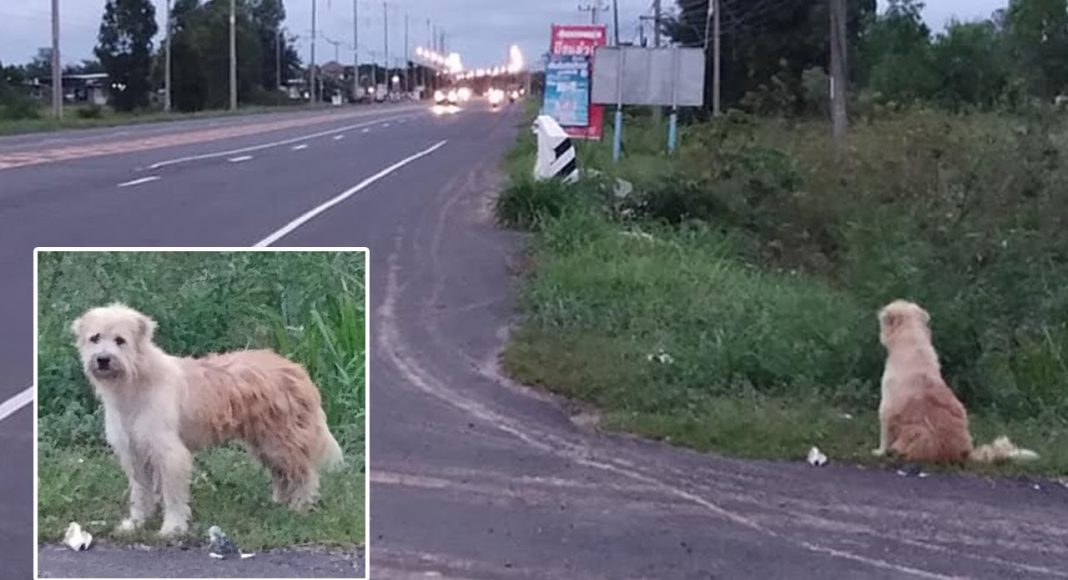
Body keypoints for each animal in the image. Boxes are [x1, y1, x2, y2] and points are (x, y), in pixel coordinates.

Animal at [74, 303, 341, 536]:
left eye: (120, 340)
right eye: (95, 338)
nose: (103, 359)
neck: (135, 381)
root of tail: (296, 369)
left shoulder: (169, 452)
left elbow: (173, 495)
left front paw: (173, 527)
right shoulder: (134, 452)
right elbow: (140, 492)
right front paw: (136, 523)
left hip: (281, 439)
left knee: (305, 472)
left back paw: (301, 506)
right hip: (265, 442)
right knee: (283, 473)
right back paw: (280, 502)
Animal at [871, 301, 1038, 465]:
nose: (879, 311)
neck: (912, 341)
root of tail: (966, 453)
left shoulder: (887, 408)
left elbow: (884, 435)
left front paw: (879, 452)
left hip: (920, 433)